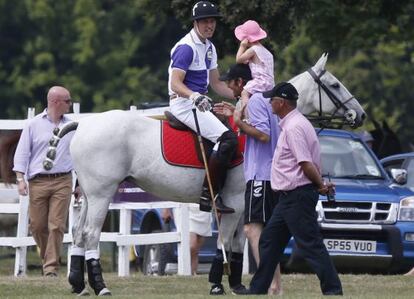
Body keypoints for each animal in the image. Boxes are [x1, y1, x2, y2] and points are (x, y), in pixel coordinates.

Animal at [42, 52, 366, 296]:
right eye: (335, 85)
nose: (360, 115)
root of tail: (84, 124)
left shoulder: (240, 202)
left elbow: (236, 244)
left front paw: (237, 285)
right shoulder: (232, 200)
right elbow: (225, 241)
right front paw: (217, 284)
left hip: (88, 193)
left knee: (78, 233)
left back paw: (78, 285)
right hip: (102, 192)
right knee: (90, 233)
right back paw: (100, 286)